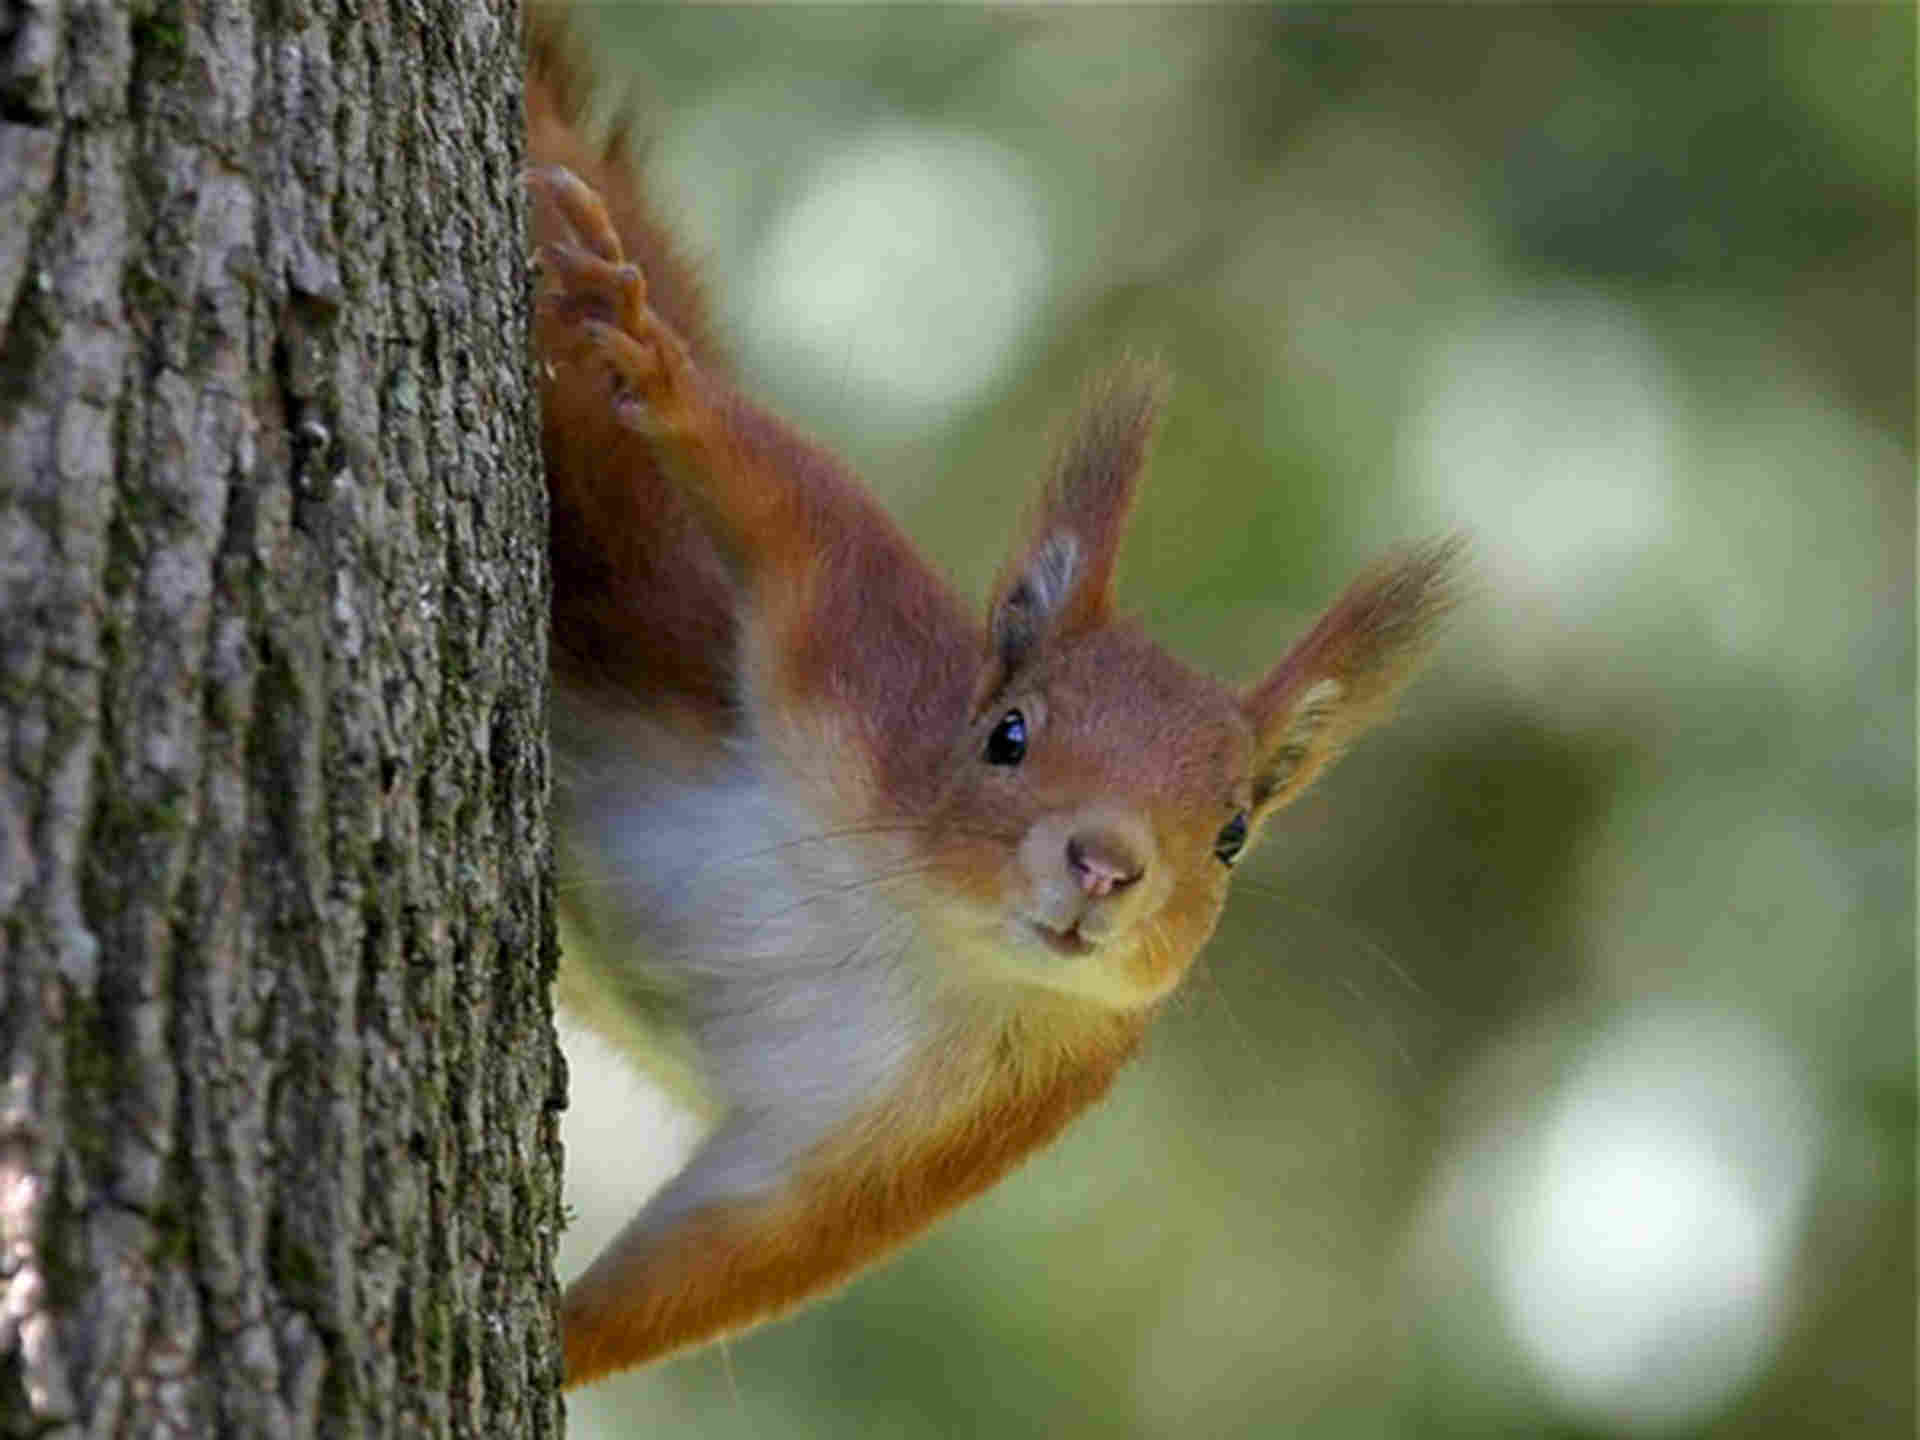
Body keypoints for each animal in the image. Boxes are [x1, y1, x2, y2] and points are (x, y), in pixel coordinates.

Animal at [526, 5, 1451, 1390]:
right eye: (1007, 734)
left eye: (1234, 836)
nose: (1105, 866)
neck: (920, 928)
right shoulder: (860, 661)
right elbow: (796, 502)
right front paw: (654, 360)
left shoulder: (951, 1129)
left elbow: (730, 1252)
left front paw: (553, 1345)